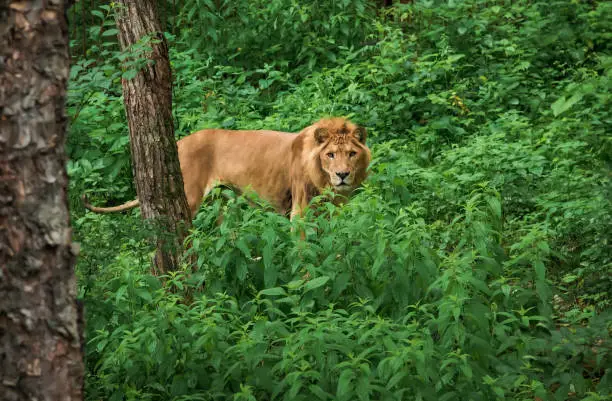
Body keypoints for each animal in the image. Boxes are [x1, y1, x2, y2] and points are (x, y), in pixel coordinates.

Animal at [83, 115, 370, 220]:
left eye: (351, 154)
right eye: (330, 155)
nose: (342, 175)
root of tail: (179, 143)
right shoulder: (298, 210)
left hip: (220, 201)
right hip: (189, 199)